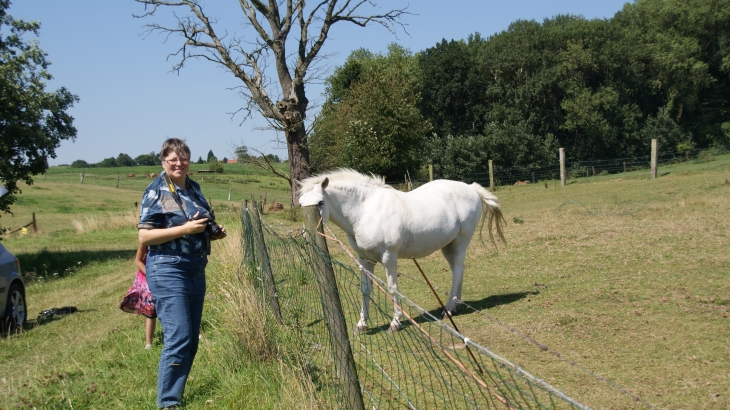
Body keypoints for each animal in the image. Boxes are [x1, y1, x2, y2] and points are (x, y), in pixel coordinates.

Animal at [298, 170, 506, 334]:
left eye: (320, 202)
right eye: (300, 205)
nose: (307, 234)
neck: (365, 210)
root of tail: (471, 188)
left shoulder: (389, 257)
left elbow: (392, 289)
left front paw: (395, 323)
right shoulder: (365, 260)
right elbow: (365, 290)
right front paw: (361, 325)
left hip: (462, 241)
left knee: (456, 272)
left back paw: (447, 309)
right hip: (449, 246)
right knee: (459, 269)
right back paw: (455, 306)